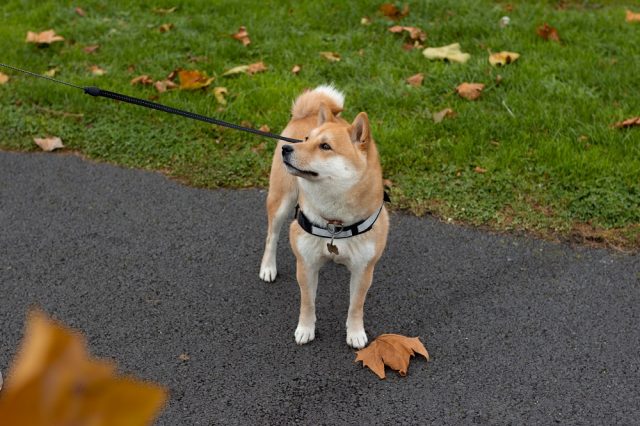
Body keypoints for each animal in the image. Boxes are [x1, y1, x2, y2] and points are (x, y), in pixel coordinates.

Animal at [258, 85, 388, 348]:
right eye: (307, 140)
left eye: (325, 146)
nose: (288, 149)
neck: (334, 223)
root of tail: (304, 115)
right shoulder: (306, 264)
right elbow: (307, 302)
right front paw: (305, 329)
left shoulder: (363, 270)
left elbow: (356, 306)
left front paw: (355, 333)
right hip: (281, 200)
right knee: (271, 236)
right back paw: (268, 267)